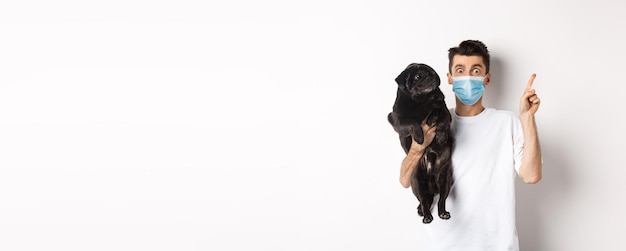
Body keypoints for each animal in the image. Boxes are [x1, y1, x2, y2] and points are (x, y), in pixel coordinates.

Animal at [388, 62, 450, 224]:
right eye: (417, 76)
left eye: (432, 73)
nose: (429, 77)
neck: (422, 102)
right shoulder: (396, 119)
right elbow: (412, 122)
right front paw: (420, 136)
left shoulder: (444, 109)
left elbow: (442, 117)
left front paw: (440, 134)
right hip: (417, 183)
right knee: (424, 201)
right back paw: (425, 214)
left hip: (445, 182)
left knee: (441, 200)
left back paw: (443, 213)